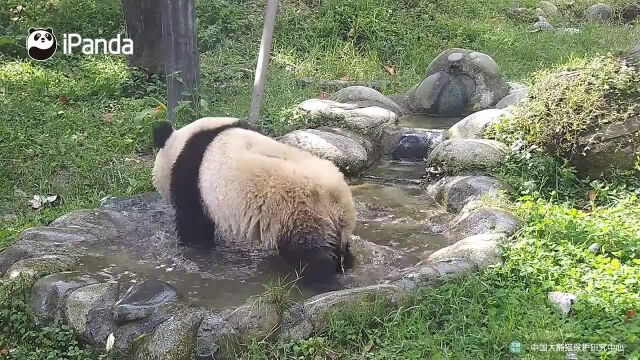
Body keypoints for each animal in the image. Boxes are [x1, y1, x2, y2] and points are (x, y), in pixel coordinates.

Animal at [152, 117, 358, 278]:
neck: (182, 142)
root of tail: (336, 198)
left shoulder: (192, 176)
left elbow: (193, 221)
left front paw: (192, 245)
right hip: (335, 223)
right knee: (340, 249)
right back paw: (345, 264)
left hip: (299, 214)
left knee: (310, 254)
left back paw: (319, 278)